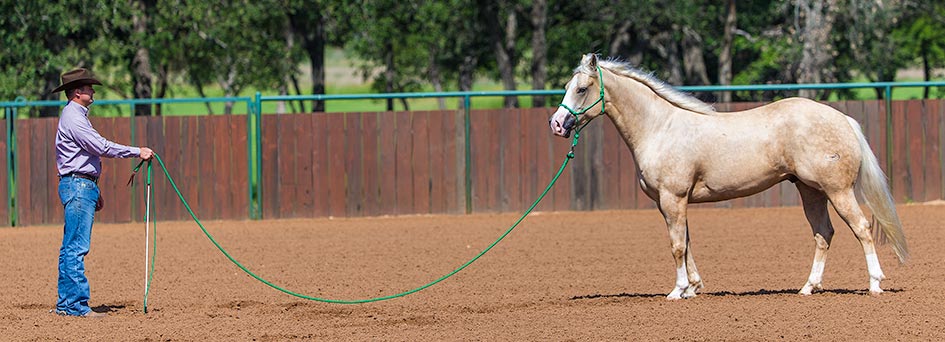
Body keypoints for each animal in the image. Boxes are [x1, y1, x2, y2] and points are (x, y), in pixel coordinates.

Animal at [544, 53, 908, 300]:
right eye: (567, 87)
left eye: (581, 88)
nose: (557, 124)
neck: (660, 128)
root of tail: (844, 119)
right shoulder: (672, 204)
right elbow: (687, 243)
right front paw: (693, 288)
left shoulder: (673, 198)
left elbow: (676, 245)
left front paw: (677, 291)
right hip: (811, 192)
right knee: (824, 234)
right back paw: (809, 287)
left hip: (838, 191)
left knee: (861, 228)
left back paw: (875, 284)